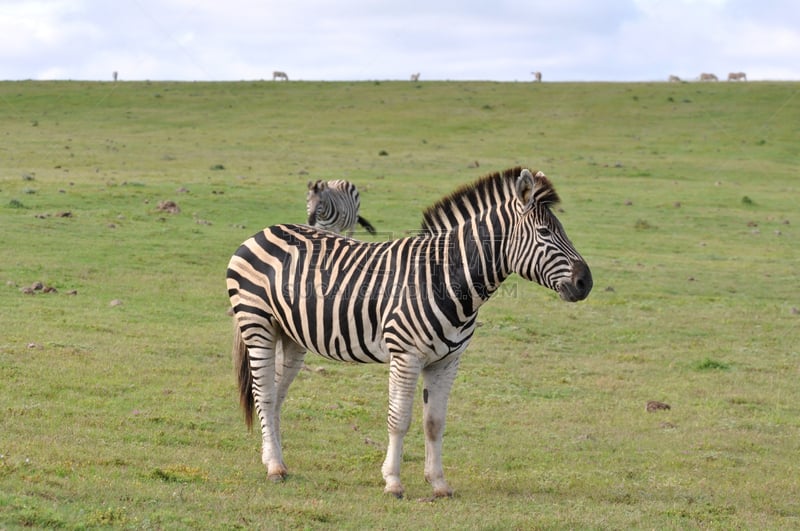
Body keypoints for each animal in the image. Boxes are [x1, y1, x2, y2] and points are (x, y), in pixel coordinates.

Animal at [228, 167, 592, 498]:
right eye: (544, 232)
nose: (585, 283)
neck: (446, 277)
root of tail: (264, 231)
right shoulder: (406, 355)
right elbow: (399, 419)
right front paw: (393, 482)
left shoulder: (447, 361)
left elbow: (435, 423)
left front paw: (439, 483)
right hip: (258, 325)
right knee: (265, 394)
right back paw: (274, 469)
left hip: (291, 336)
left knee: (276, 396)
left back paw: (275, 461)